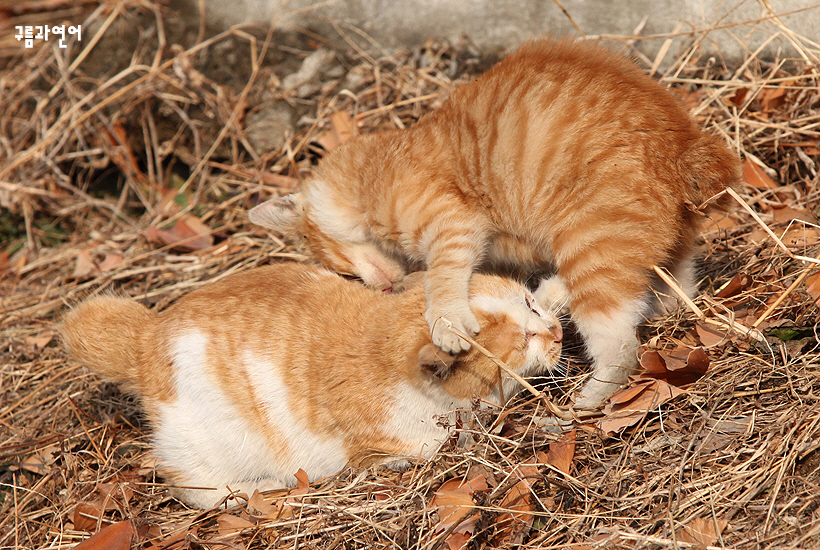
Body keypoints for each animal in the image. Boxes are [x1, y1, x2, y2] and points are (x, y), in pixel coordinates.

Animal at [62, 266, 564, 512]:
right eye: (523, 340)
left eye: (529, 303)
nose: (556, 333)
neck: (378, 339)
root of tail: (147, 337)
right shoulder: (401, 446)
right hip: (210, 448)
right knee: (191, 485)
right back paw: (258, 491)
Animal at [251, 37, 744, 410]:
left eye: (344, 273)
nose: (382, 288)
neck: (372, 173)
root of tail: (685, 149)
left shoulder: (453, 223)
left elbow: (442, 277)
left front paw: (446, 321)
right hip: (657, 251)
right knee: (672, 287)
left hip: (593, 253)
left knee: (619, 349)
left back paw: (586, 402)